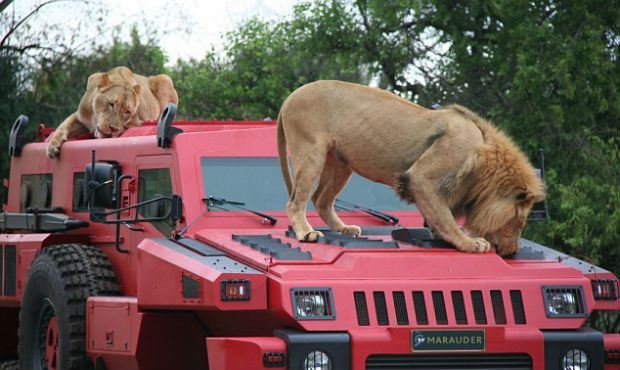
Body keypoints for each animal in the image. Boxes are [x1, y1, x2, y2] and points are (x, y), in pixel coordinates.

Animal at [45, 66, 177, 158]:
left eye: (128, 111)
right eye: (111, 103)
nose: (112, 128)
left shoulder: (137, 121)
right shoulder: (80, 117)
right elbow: (63, 126)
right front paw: (52, 145)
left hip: (165, 79)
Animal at [276, 80, 544, 254]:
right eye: (518, 223)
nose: (513, 251)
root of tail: (289, 97)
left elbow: (437, 213)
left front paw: (438, 234)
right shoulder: (422, 178)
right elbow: (446, 217)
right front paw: (469, 242)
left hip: (340, 162)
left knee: (321, 199)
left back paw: (344, 229)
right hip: (310, 151)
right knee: (295, 201)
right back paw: (307, 233)